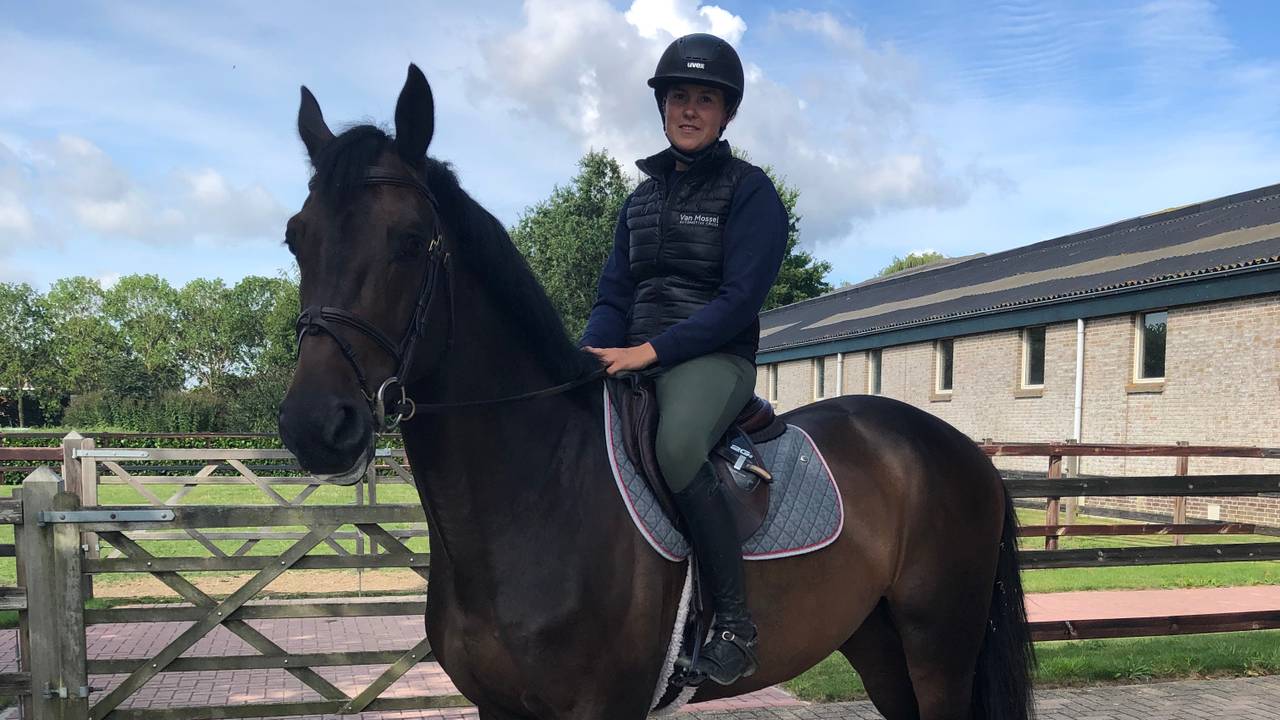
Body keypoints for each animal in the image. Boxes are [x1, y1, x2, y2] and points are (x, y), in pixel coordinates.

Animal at [277, 65, 1035, 720]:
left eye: (409, 239)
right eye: (295, 238)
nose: (315, 426)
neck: (540, 492)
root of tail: (964, 451)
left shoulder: (602, 708)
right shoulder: (498, 706)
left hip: (938, 647)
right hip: (877, 643)